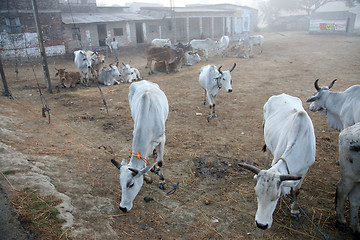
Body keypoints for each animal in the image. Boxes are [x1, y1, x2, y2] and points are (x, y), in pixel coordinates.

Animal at [110, 81, 168, 214]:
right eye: (120, 182)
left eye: (131, 184)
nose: (123, 208)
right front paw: (147, 177)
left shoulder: (162, 138)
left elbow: (160, 162)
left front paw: (162, 181)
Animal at [238, 93, 316, 229]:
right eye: (256, 193)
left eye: (276, 197)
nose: (261, 224)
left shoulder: (304, 170)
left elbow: (297, 191)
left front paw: (295, 210)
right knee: (269, 151)